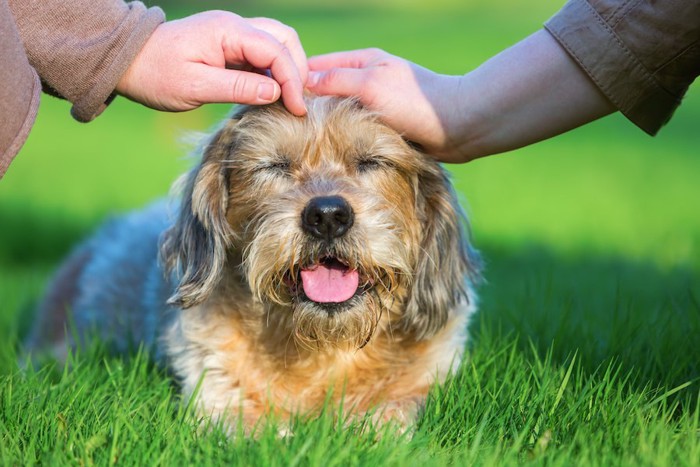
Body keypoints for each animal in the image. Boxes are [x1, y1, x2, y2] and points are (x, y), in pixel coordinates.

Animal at [27, 96, 482, 436]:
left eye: (371, 161)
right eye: (274, 166)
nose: (328, 215)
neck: (321, 346)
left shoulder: (420, 385)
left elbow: (388, 416)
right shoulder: (216, 391)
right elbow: (256, 432)